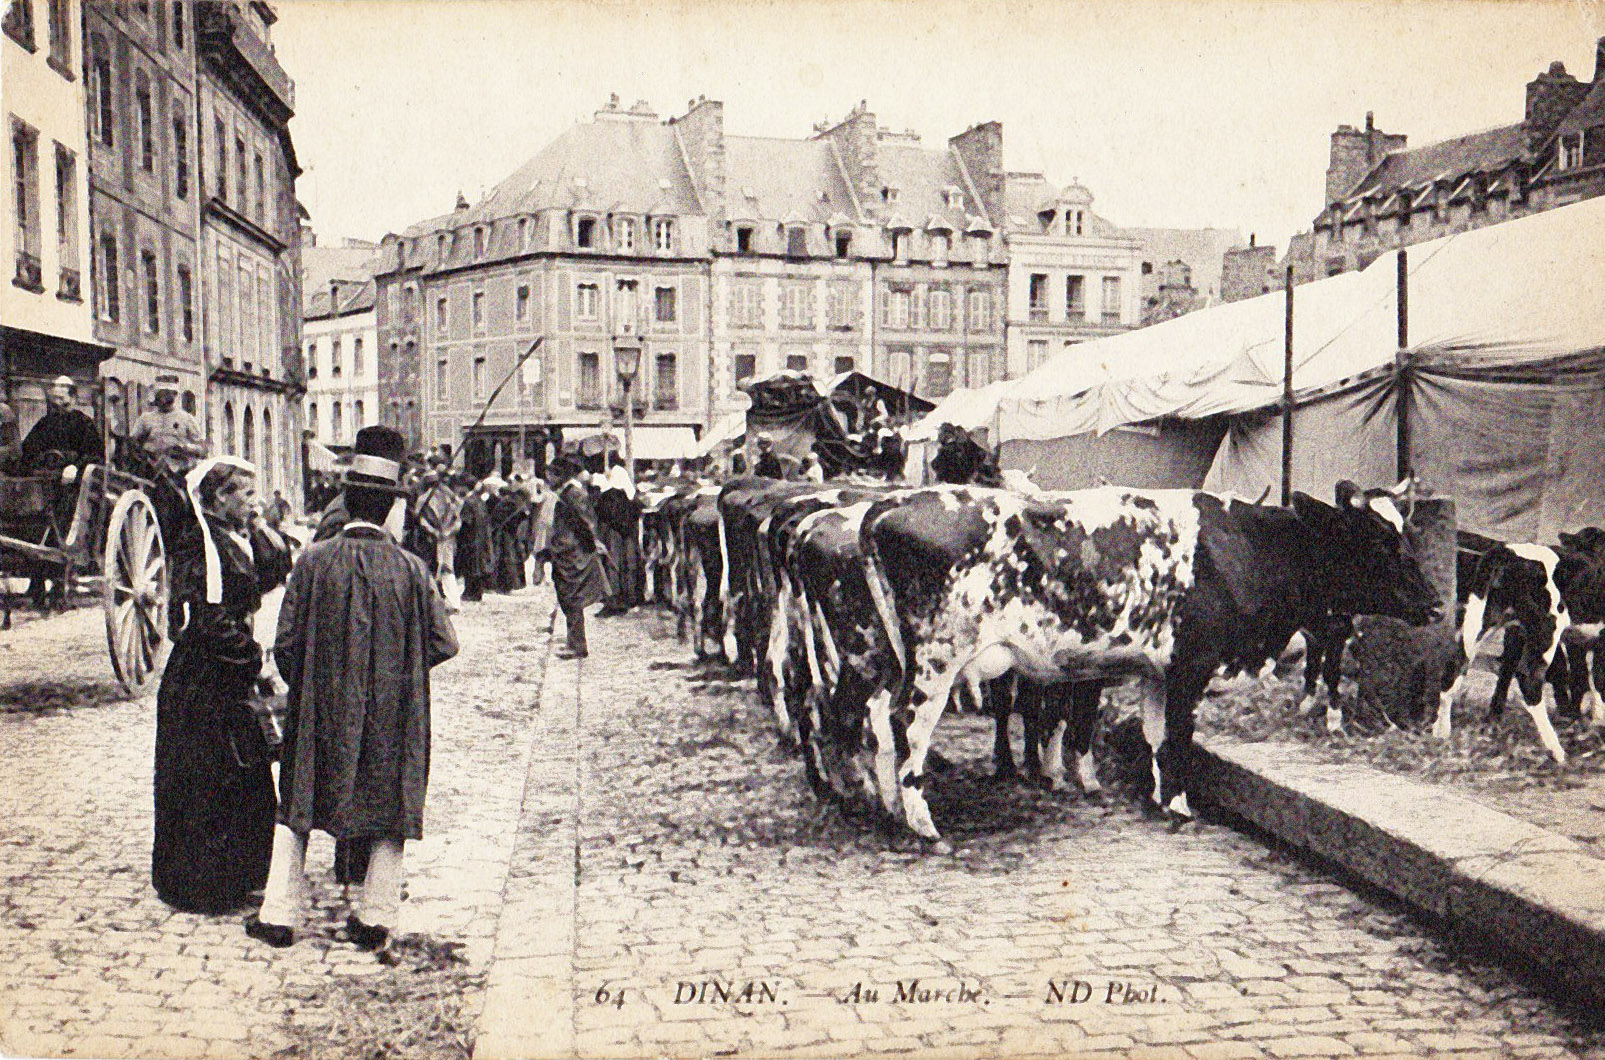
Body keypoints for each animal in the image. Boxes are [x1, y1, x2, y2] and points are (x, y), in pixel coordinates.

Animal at [860, 485, 1438, 841]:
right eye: (1379, 541)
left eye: (1407, 533)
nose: (1435, 603)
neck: (1245, 546)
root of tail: (893, 502)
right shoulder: (1192, 664)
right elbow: (1179, 736)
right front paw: (1180, 807)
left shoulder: (1160, 670)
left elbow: (1157, 736)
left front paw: (1162, 800)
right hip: (937, 659)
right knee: (909, 727)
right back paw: (923, 825)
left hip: (893, 656)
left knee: (878, 718)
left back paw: (888, 808)